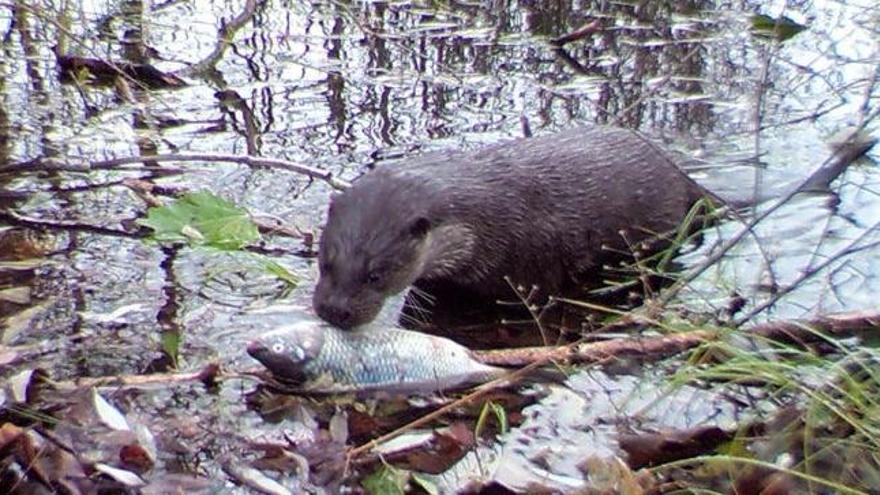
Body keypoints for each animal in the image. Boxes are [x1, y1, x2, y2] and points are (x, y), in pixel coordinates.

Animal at [316, 126, 708, 332]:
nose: (333, 310)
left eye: (376, 275)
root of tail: (678, 173)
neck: (484, 221)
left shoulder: (533, 269)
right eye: (325, 264)